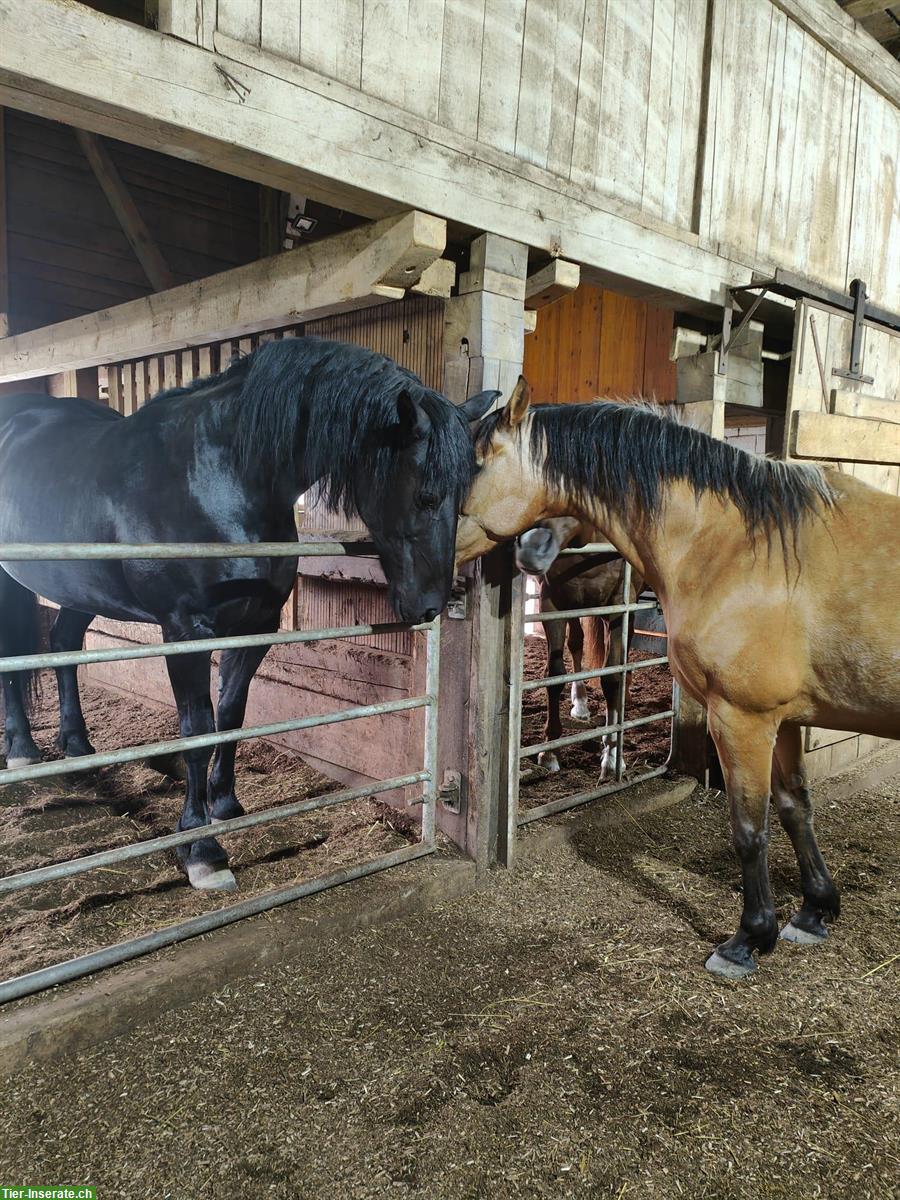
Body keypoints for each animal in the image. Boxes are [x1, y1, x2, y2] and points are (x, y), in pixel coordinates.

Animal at [0, 338, 501, 892]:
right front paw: (201, 850)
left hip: (79, 587)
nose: (431, 606)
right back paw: (22, 749)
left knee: (63, 644)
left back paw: (76, 745)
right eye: (425, 495)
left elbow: (232, 715)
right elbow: (198, 730)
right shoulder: (185, 632)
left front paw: (225, 806)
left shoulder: (256, 626)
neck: (216, 478)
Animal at [458, 379, 900, 979]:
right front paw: (813, 911)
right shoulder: (782, 719)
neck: (738, 548)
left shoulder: (742, 719)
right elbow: (795, 807)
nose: (531, 552)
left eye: (478, 460)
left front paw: (748, 938)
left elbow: (749, 828)